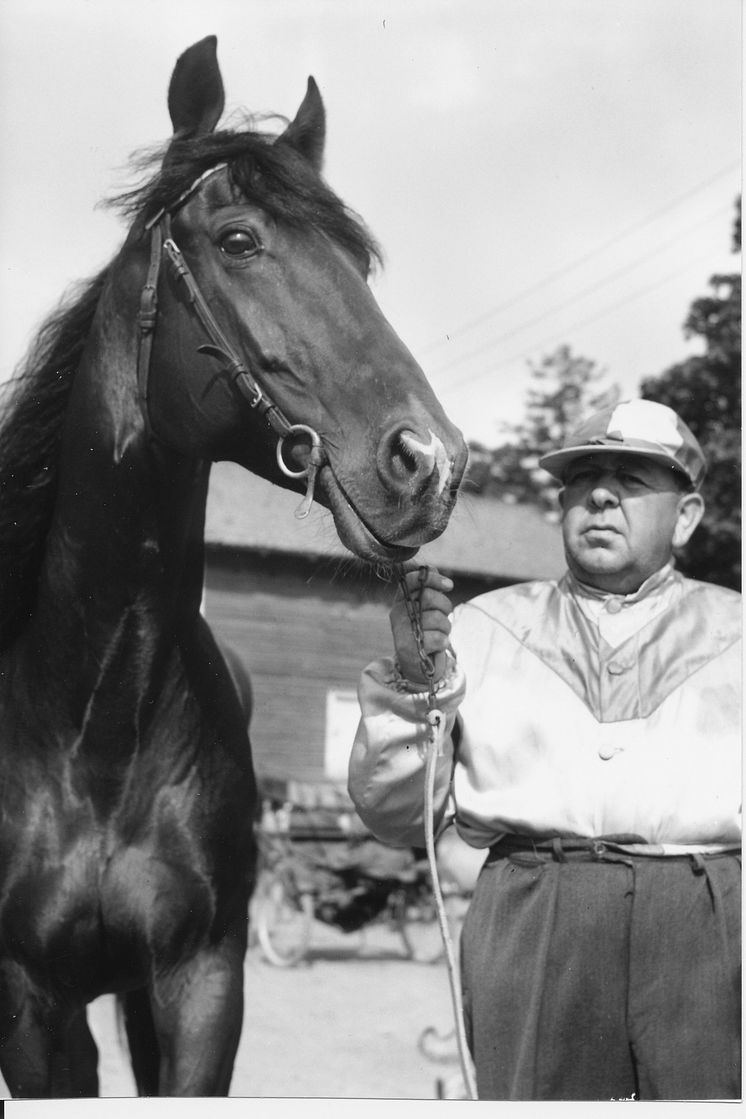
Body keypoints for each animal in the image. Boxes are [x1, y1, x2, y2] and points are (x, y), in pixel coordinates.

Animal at [0, 37, 467, 1101]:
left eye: (359, 264)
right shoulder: (31, 1007)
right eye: (240, 240)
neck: (91, 725)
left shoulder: (203, 981)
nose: (431, 462)